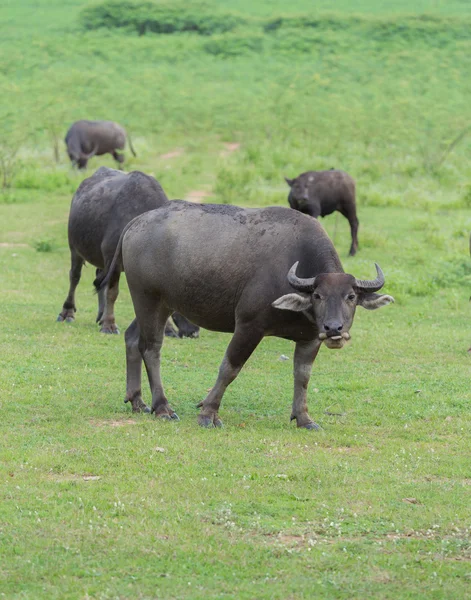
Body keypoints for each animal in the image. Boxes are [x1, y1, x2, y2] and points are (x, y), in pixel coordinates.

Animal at [57, 166, 199, 340]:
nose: (194, 332)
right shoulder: (112, 258)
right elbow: (112, 292)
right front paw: (109, 325)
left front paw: (167, 329)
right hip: (75, 249)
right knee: (75, 277)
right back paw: (67, 312)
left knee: (98, 279)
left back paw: (101, 315)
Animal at [100, 202, 394, 426]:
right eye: (318, 296)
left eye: (351, 297)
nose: (334, 329)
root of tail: (137, 222)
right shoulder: (248, 326)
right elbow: (230, 368)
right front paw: (208, 413)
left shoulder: (310, 338)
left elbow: (302, 376)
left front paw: (303, 418)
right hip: (150, 300)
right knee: (151, 348)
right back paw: (162, 407)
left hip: (160, 305)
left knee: (131, 338)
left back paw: (137, 400)